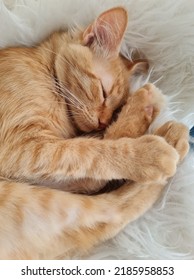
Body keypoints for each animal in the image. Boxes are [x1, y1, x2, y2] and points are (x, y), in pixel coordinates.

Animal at [0, 7, 189, 260]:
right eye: (104, 93)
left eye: (116, 108)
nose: (103, 121)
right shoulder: (21, 148)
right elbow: (89, 150)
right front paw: (145, 154)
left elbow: (89, 162)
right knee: (111, 209)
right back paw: (167, 135)